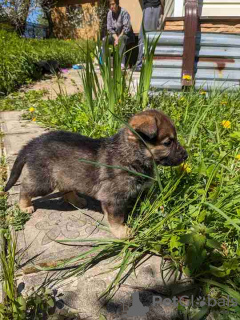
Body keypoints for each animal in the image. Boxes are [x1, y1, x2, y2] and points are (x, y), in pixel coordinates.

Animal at [3, 109, 188, 238]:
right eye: (168, 142)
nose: (186, 155)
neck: (131, 154)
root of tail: (32, 143)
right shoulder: (114, 198)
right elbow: (117, 217)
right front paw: (121, 232)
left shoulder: (142, 190)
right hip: (44, 181)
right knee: (25, 188)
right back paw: (24, 206)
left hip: (66, 176)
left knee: (65, 189)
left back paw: (77, 200)